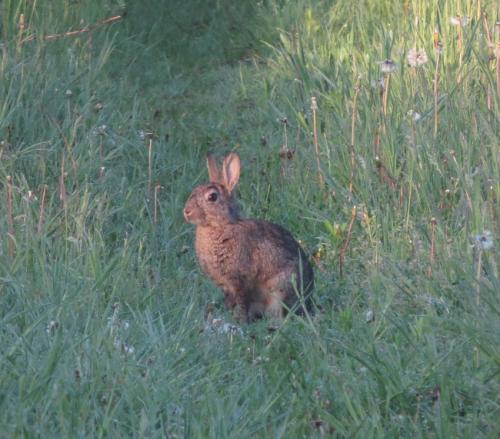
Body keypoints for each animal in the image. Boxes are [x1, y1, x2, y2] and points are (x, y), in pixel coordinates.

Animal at [184, 152, 314, 324]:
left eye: (212, 197)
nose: (186, 211)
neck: (221, 226)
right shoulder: (226, 285)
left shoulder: (240, 280)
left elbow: (241, 300)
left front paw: (240, 320)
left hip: (281, 289)